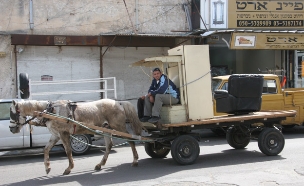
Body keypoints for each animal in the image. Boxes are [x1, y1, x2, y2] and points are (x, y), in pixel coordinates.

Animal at [10, 99, 145, 175]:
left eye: (12, 113)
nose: (11, 129)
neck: (50, 111)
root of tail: (119, 103)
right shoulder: (55, 135)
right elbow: (46, 149)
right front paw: (47, 167)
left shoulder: (63, 133)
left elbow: (68, 151)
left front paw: (69, 169)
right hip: (106, 128)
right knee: (109, 146)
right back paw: (100, 164)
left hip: (119, 127)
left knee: (130, 141)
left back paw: (135, 160)